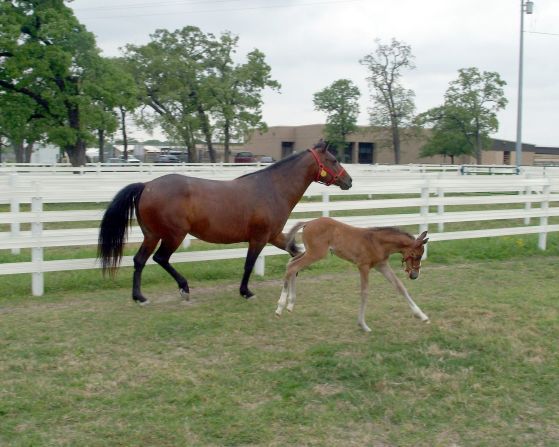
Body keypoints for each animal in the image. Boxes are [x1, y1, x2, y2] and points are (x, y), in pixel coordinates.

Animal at [95, 143, 350, 304]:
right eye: (333, 160)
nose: (349, 181)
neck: (273, 188)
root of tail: (146, 185)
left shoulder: (274, 235)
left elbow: (295, 253)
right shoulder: (258, 238)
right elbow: (249, 265)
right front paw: (246, 292)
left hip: (152, 235)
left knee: (140, 261)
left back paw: (139, 297)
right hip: (174, 235)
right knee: (160, 258)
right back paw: (184, 288)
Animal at [274, 217, 428, 332]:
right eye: (416, 255)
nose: (415, 275)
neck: (377, 242)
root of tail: (308, 222)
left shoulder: (381, 265)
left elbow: (400, 286)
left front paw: (422, 316)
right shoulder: (363, 266)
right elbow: (364, 292)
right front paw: (363, 325)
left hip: (310, 252)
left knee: (291, 263)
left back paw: (290, 304)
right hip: (316, 253)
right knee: (292, 267)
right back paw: (280, 307)